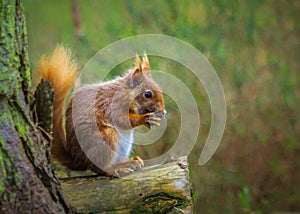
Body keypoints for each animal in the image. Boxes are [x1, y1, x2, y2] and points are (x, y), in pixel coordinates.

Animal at [39, 46, 166, 176]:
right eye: (148, 94)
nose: (162, 111)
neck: (125, 92)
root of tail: (79, 161)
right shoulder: (113, 105)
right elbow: (122, 120)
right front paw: (145, 118)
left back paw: (129, 162)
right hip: (105, 138)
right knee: (99, 168)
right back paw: (115, 170)